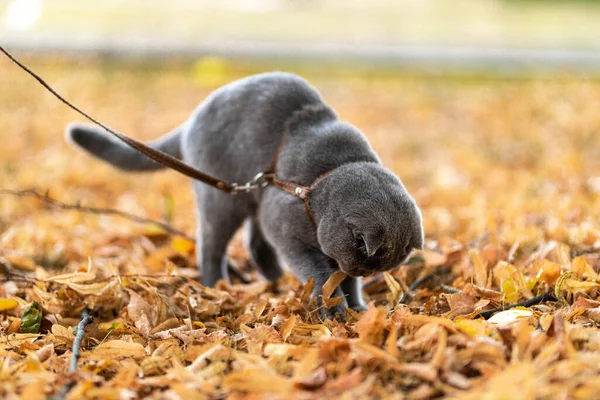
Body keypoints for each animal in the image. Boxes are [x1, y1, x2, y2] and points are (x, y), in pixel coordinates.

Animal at [64, 70, 422, 318]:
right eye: (367, 261)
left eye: (379, 268)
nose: (362, 272)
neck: (320, 182)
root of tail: (192, 119)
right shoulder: (284, 222)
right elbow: (318, 271)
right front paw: (332, 305)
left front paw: (356, 304)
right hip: (224, 200)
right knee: (211, 245)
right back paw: (215, 286)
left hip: (254, 197)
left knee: (255, 244)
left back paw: (275, 282)